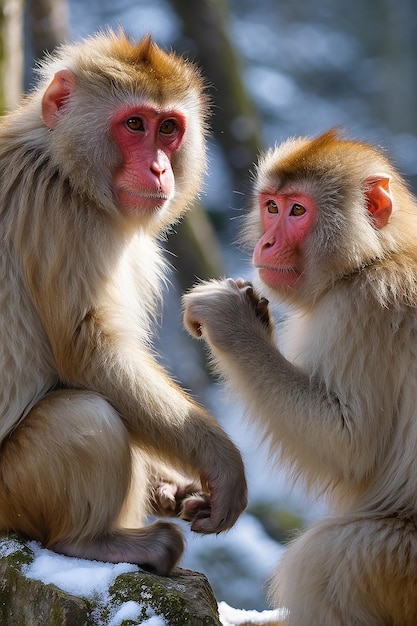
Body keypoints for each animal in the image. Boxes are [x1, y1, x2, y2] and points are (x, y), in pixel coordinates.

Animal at [0, 30, 247, 576]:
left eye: (168, 128)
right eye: (135, 124)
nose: (158, 168)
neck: (62, 162)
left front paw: (169, 487)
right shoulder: (59, 213)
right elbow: (90, 350)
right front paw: (220, 461)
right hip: (10, 496)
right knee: (84, 414)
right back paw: (91, 542)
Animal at [184, 129, 417, 620]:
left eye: (297, 212)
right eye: (271, 207)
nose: (266, 245)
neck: (374, 256)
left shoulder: (367, 307)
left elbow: (351, 444)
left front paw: (233, 323)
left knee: (325, 560)